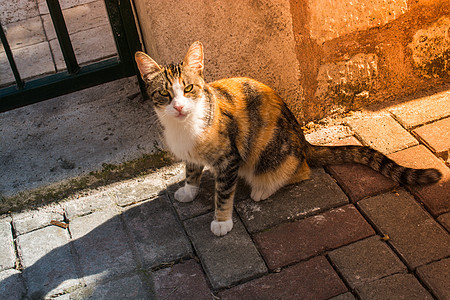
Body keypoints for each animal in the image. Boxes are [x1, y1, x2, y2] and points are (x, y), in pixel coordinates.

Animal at [134, 41, 442, 237]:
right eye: (164, 93)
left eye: (188, 88)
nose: (178, 106)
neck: (185, 127)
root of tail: (303, 140)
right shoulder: (190, 155)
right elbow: (191, 169)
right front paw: (188, 190)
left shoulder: (229, 158)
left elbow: (223, 194)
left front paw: (221, 221)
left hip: (272, 153)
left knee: (298, 170)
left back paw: (264, 188)